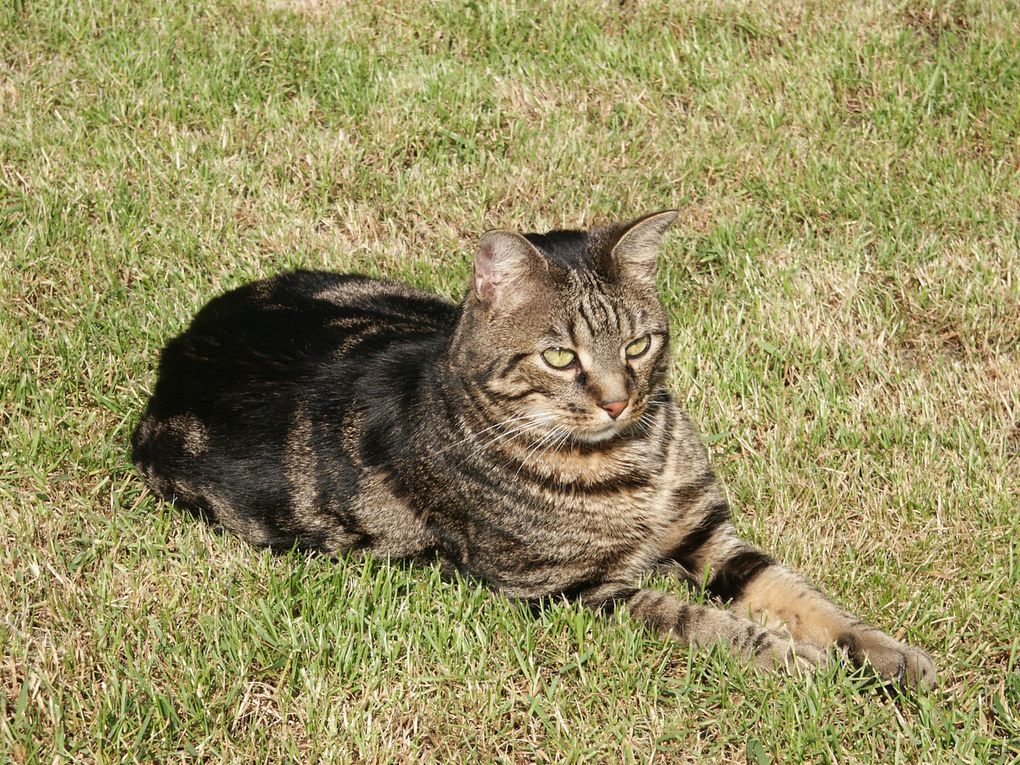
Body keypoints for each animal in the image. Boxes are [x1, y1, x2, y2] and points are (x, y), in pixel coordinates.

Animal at [131, 210, 934, 689]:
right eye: (558, 357)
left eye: (638, 345)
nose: (616, 398)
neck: (629, 457)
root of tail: (178, 348)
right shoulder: (572, 591)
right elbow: (710, 624)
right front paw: (804, 663)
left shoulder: (707, 533)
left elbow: (804, 597)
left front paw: (887, 654)